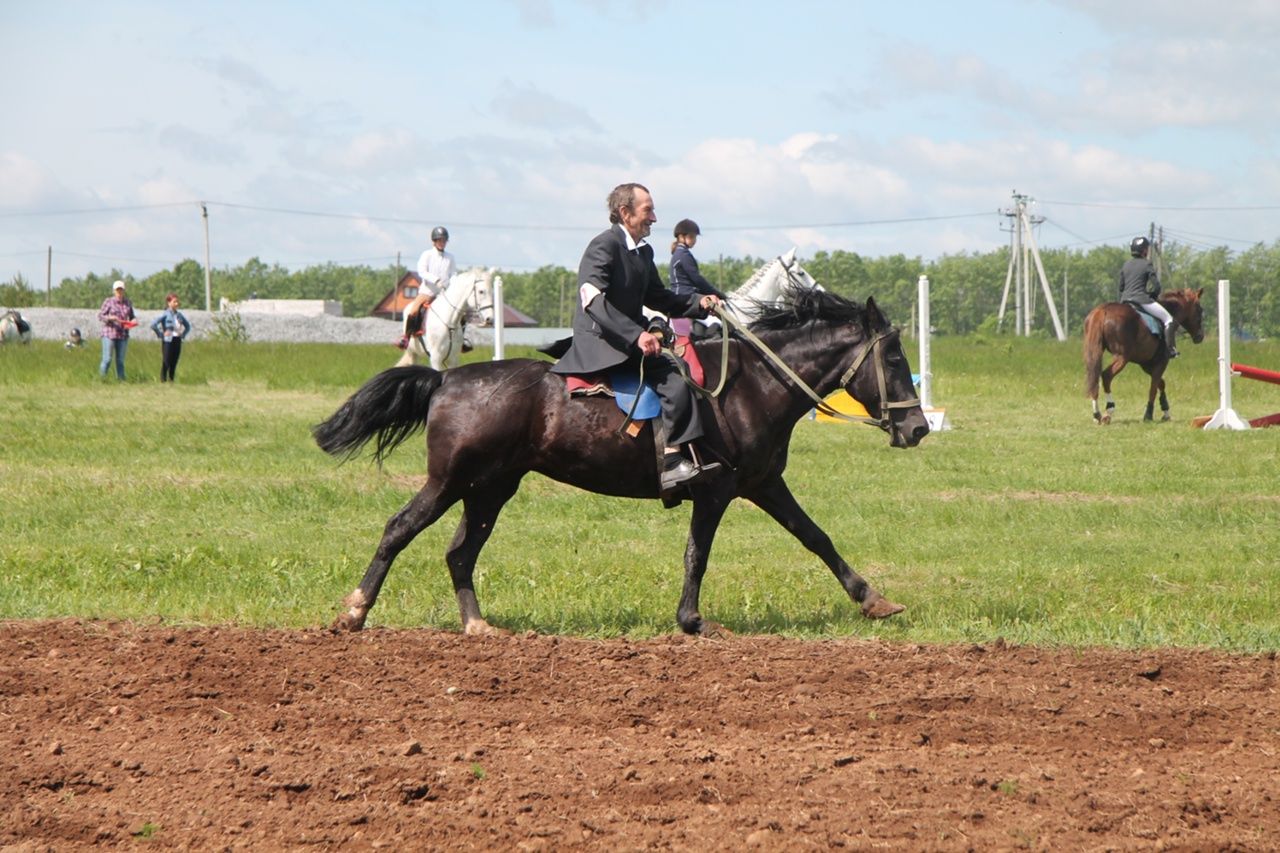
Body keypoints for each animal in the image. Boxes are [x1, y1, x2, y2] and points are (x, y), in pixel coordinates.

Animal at [312, 289, 931, 635]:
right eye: (893, 358)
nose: (918, 428)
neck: (753, 385)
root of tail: (445, 379)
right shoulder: (716, 491)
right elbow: (697, 555)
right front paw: (692, 621)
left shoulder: (763, 484)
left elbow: (816, 537)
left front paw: (874, 600)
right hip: (449, 481)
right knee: (399, 529)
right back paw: (354, 613)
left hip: (490, 489)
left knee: (460, 553)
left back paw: (478, 626)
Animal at [1085, 290, 1203, 422]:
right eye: (1200, 310)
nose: (1200, 336)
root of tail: (1102, 311)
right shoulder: (1161, 362)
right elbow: (1153, 388)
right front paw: (1149, 414)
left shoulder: (1146, 364)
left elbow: (1160, 383)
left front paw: (1165, 411)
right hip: (1122, 357)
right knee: (1106, 376)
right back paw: (1109, 410)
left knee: (1094, 378)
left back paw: (1097, 414)